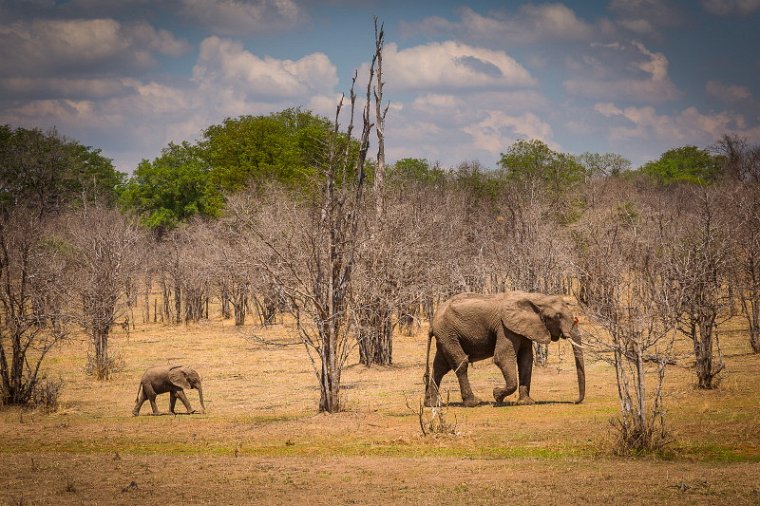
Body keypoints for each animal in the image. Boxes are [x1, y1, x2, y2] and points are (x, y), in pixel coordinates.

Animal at [424, 292, 584, 408]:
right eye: (557, 316)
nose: (575, 401)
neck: (534, 297)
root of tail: (432, 322)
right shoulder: (505, 328)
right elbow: (503, 357)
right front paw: (497, 396)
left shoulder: (523, 328)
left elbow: (526, 360)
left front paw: (526, 402)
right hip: (447, 332)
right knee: (460, 363)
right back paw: (474, 403)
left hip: (446, 335)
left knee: (440, 367)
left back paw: (431, 404)